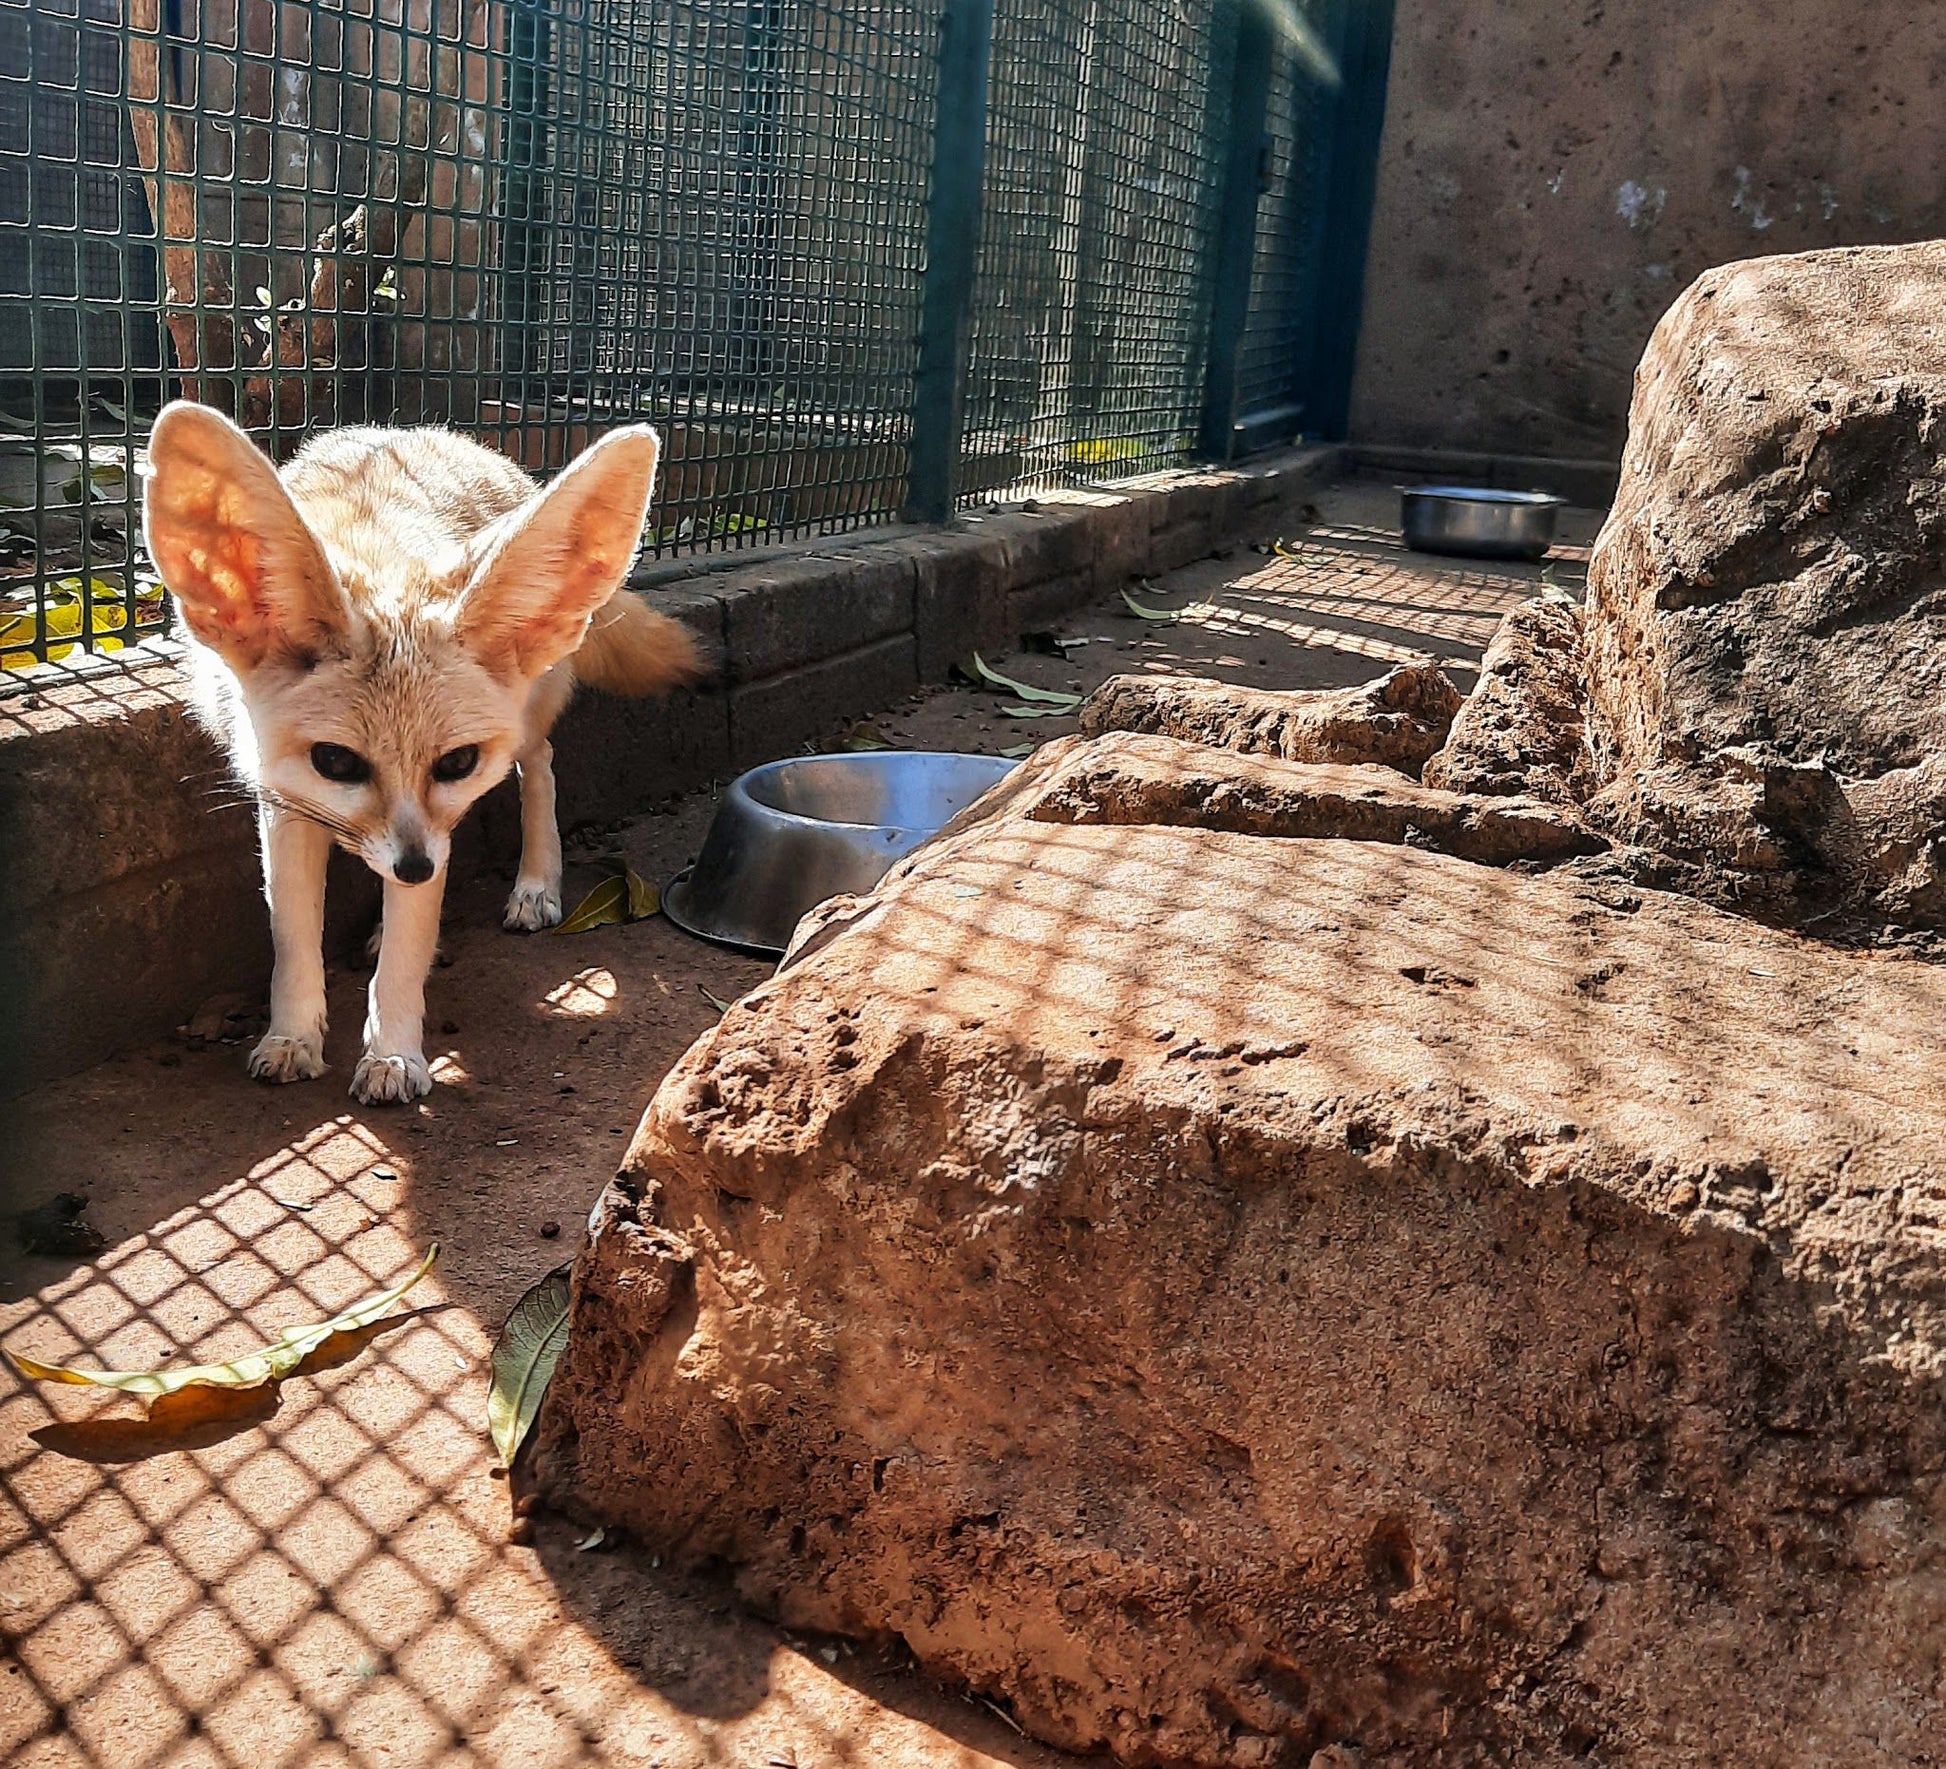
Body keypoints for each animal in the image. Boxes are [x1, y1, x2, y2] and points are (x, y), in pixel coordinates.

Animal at [145, 406, 708, 1113]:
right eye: (336, 763)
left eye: (457, 762)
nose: (414, 868)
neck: (379, 550)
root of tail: (433, 433)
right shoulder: (285, 805)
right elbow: (293, 935)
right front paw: (293, 1036)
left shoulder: (438, 826)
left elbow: (406, 953)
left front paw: (392, 1052)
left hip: (525, 723)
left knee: (542, 764)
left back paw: (535, 885)